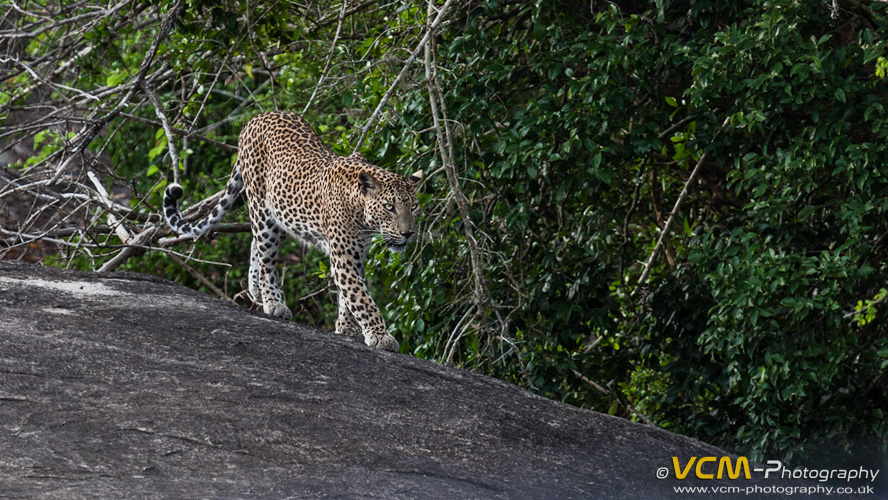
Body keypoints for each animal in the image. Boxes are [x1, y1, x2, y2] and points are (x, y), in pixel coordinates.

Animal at [164, 111, 424, 352]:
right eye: (389, 207)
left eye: (414, 206)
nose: (408, 233)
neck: (362, 213)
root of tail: (256, 118)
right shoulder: (344, 258)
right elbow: (360, 297)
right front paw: (381, 336)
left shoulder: (357, 255)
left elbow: (348, 296)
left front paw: (346, 328)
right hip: (262, 209)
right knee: (267, 259)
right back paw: (273, 301)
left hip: (280, 215)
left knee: (255, 243)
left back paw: (255, 289)